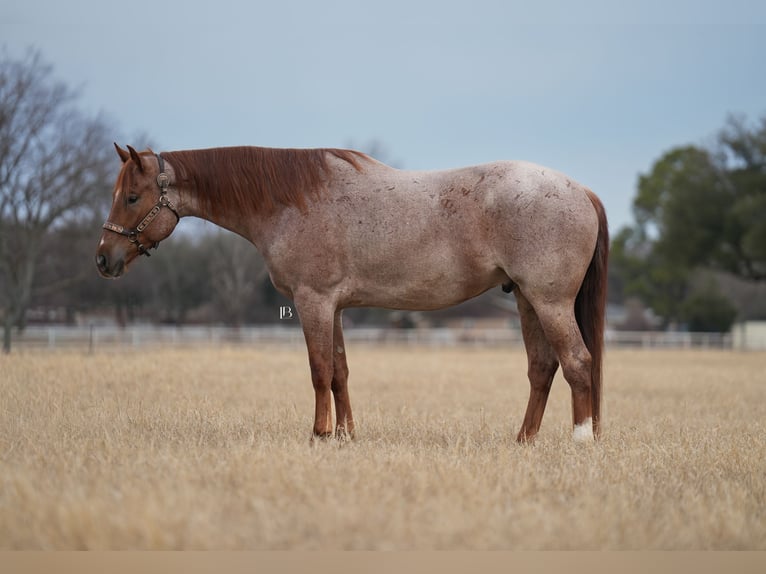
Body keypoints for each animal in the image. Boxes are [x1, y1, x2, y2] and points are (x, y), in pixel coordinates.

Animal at [96, 144, 608, 443]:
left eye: (132, 197)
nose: (104, 259)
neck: (291, 201)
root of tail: (580, 190)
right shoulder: (336, 307)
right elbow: (341, 371)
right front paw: (345, 434)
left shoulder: (313, 301)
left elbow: (319, 370)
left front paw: (320, 434)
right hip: (525, 299)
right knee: (542, 369)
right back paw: (524, 440)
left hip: (549, 302)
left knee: (577, 362)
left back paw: (582, 439)